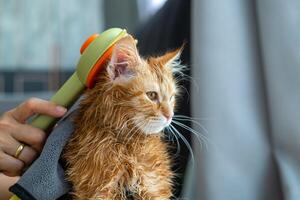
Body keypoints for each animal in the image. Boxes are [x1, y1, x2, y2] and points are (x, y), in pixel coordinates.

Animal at [63, 34, 183, 200]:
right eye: (152, 95)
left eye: (171, 98)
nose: (170, 115)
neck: (128, 144)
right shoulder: (96, 189)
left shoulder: (154, 186)